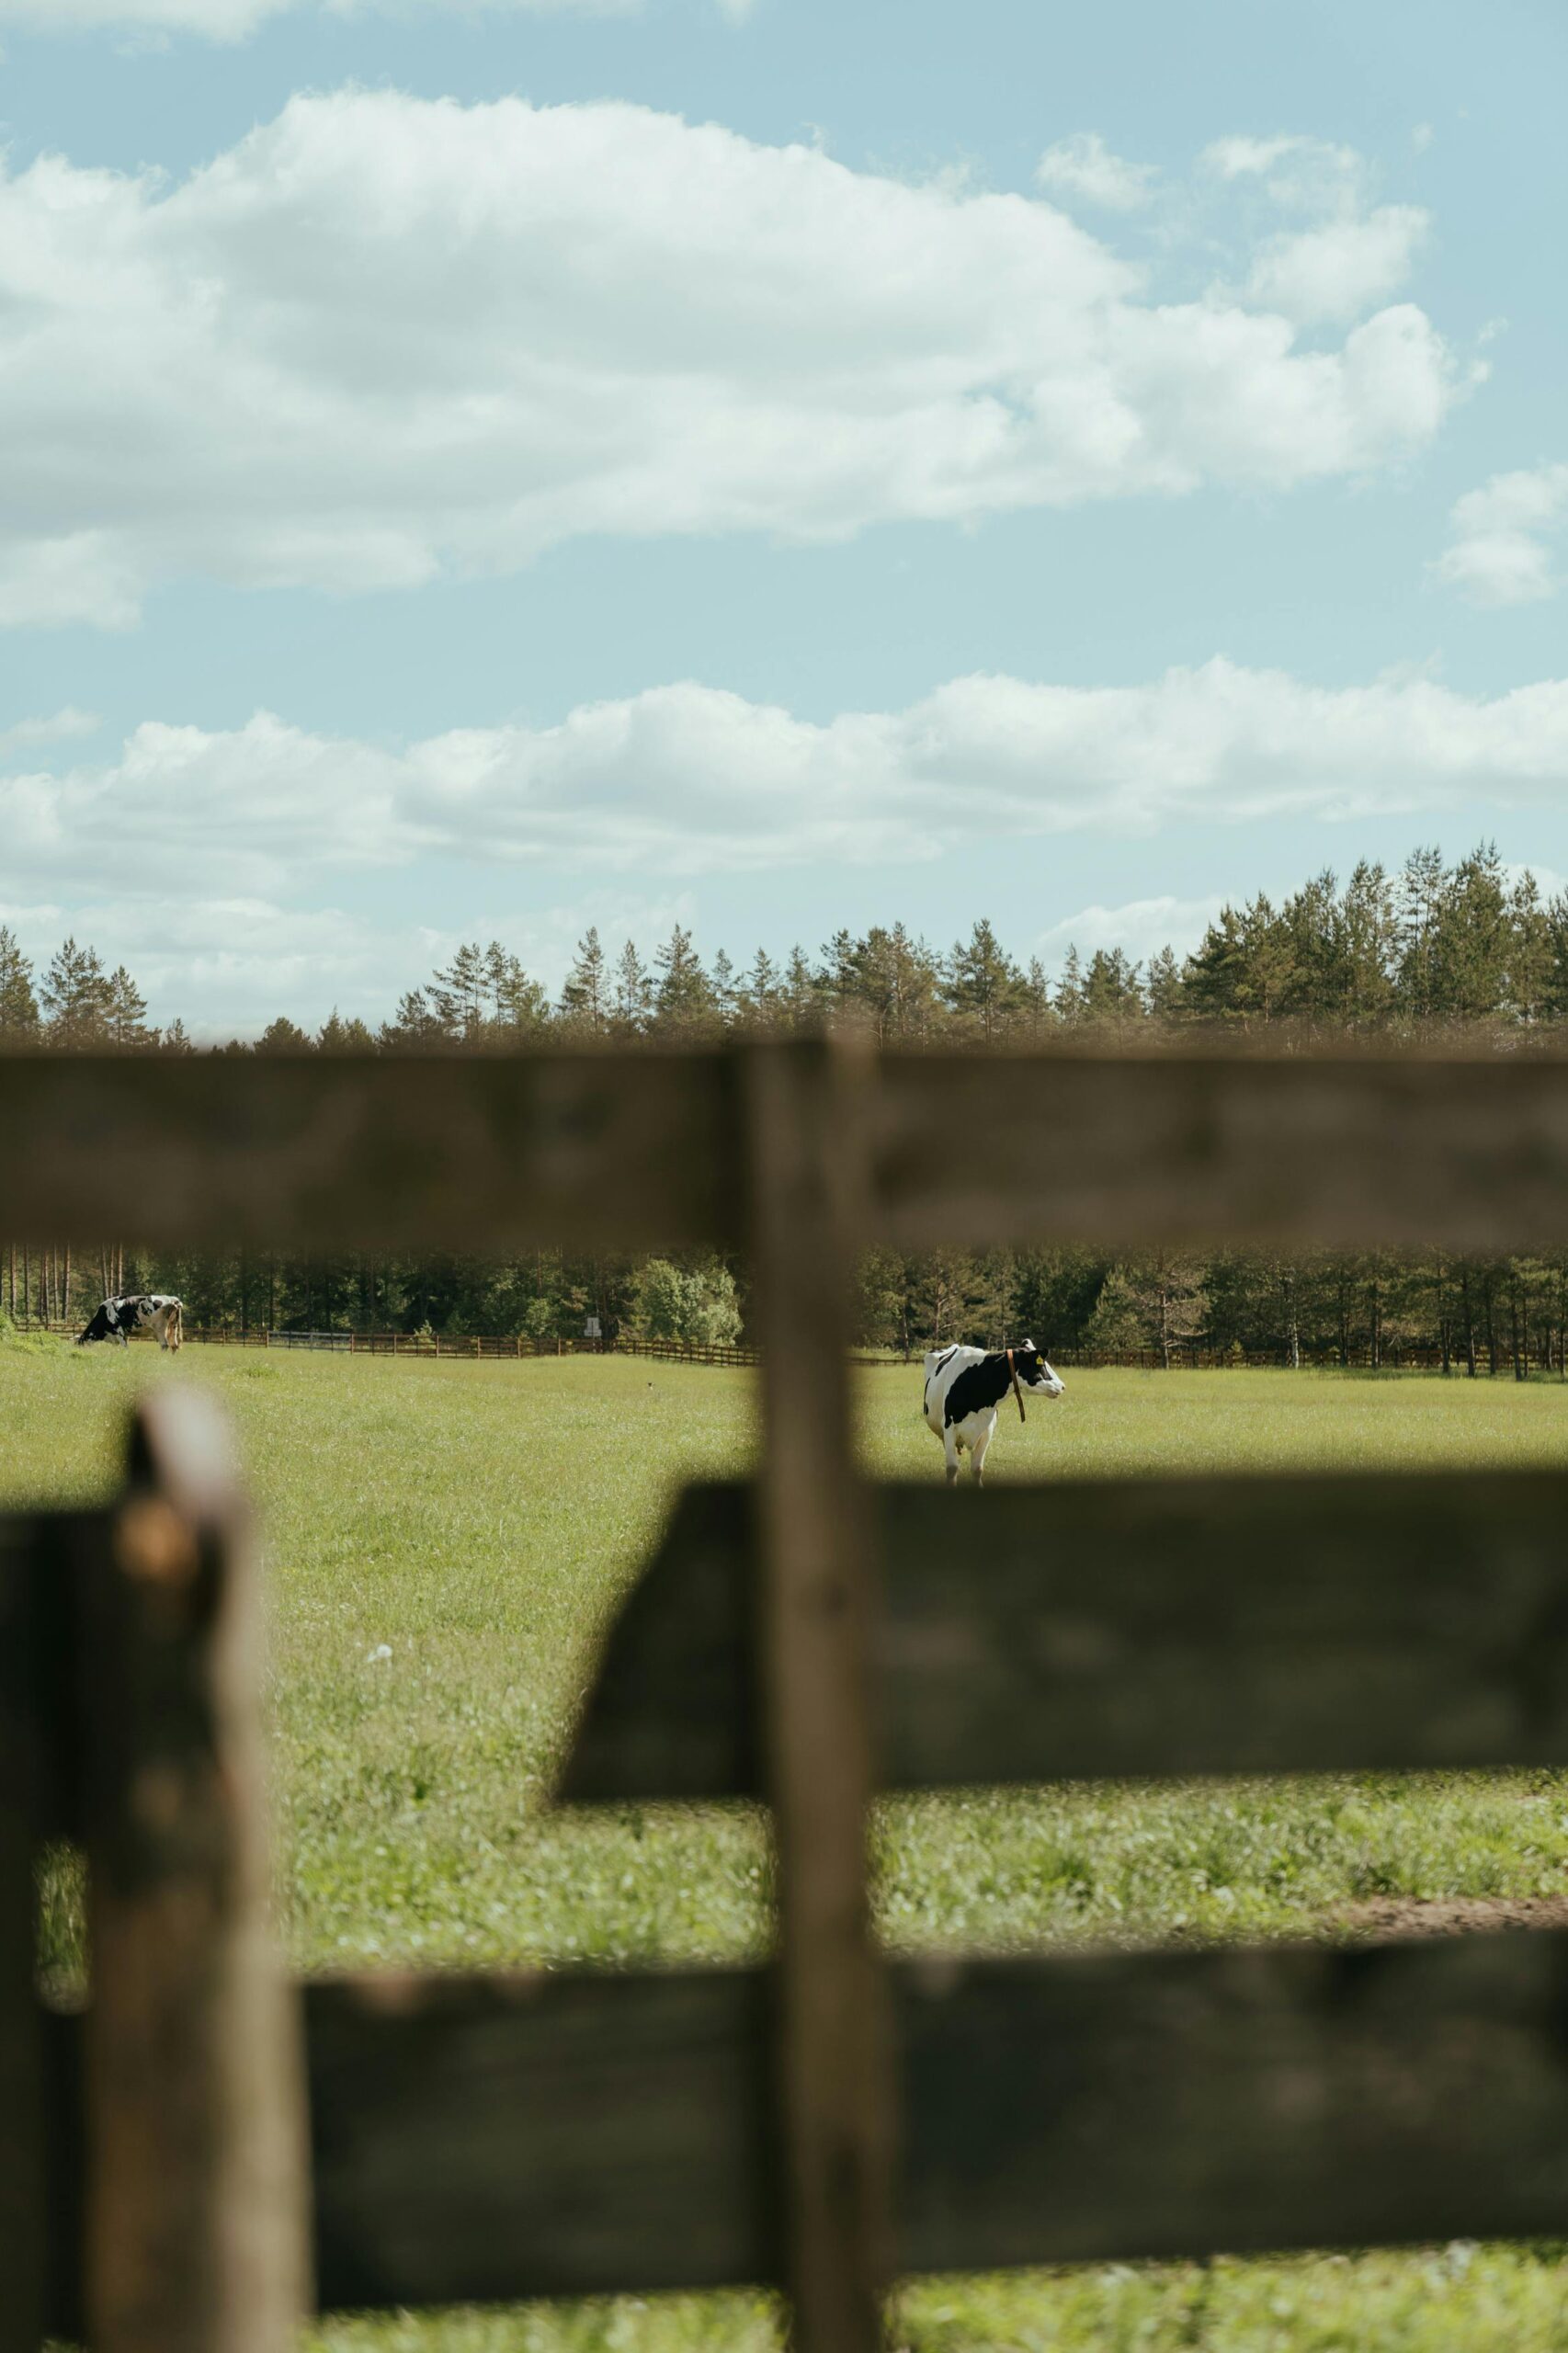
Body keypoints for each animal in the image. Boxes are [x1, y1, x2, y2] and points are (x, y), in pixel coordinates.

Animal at [922, 1339, 1064, 1487]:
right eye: (1042, 1365)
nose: (1062, 1386)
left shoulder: (986, 1431)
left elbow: (977, 1469)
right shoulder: (949, 1428)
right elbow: (952, 1468)